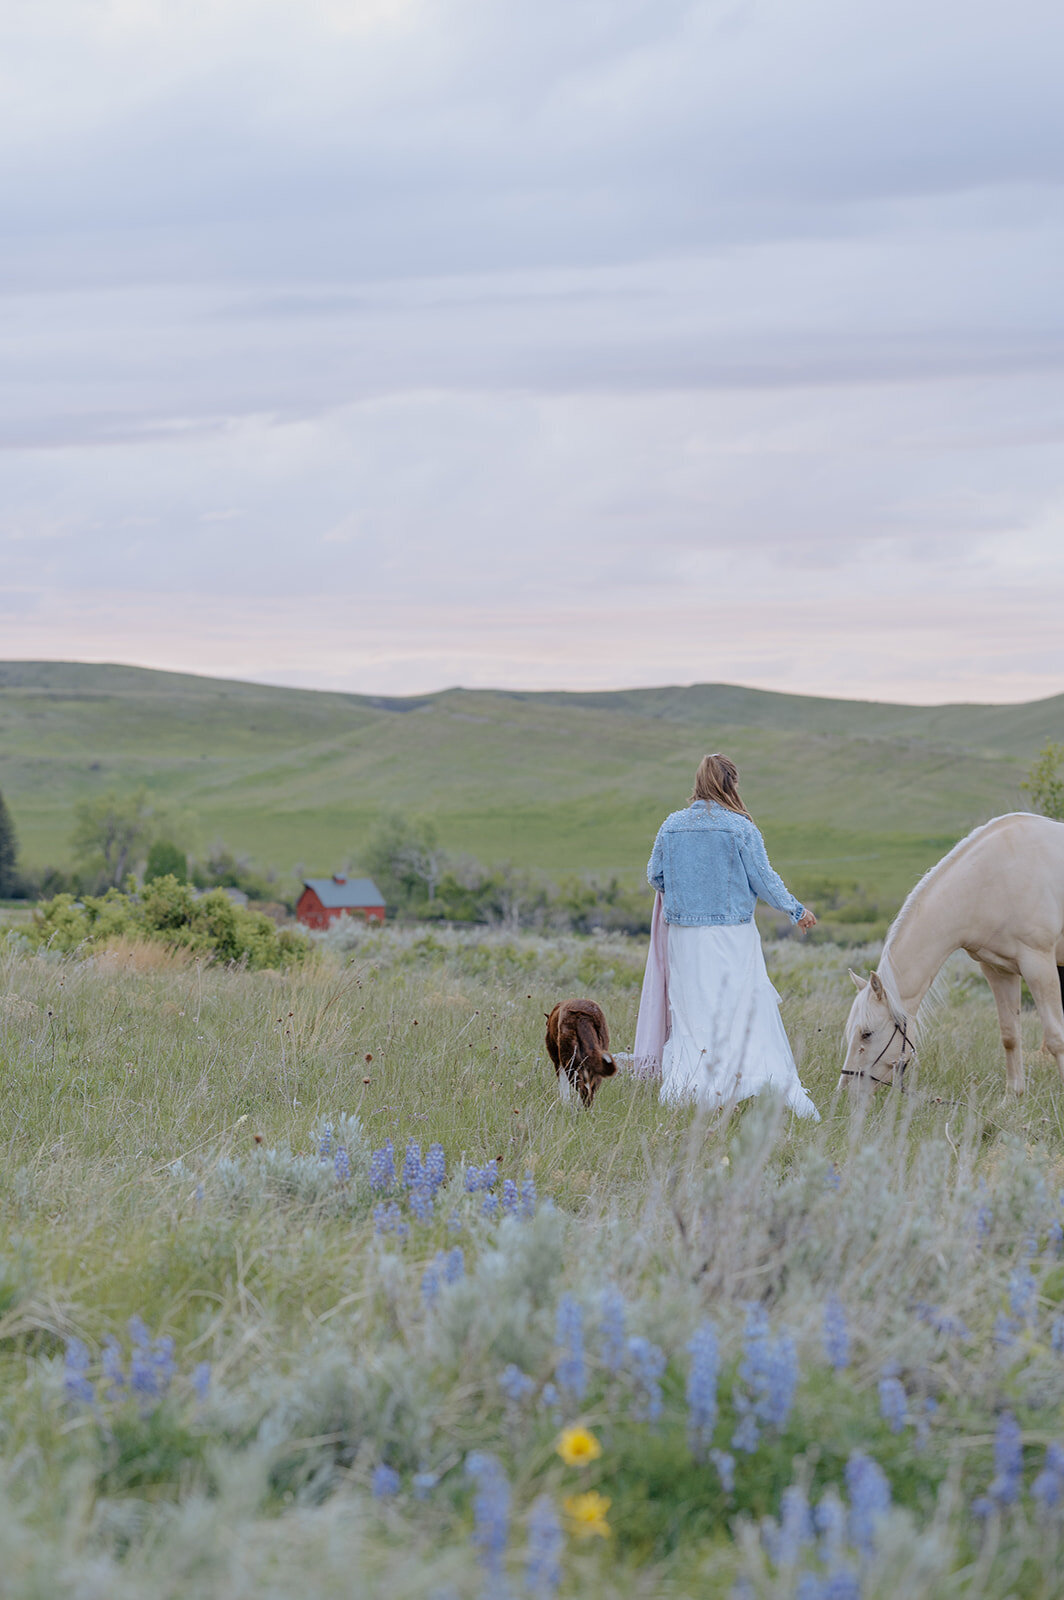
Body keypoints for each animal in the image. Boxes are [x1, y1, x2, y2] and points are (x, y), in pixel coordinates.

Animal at [838, 819, 1062, 1094]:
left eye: (867, 1034)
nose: (846, 1090)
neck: (994, 879)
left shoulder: (1038, 965)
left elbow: (1056, 1037)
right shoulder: (999, 970)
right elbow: (1010, 1035)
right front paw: (1013, 1096)